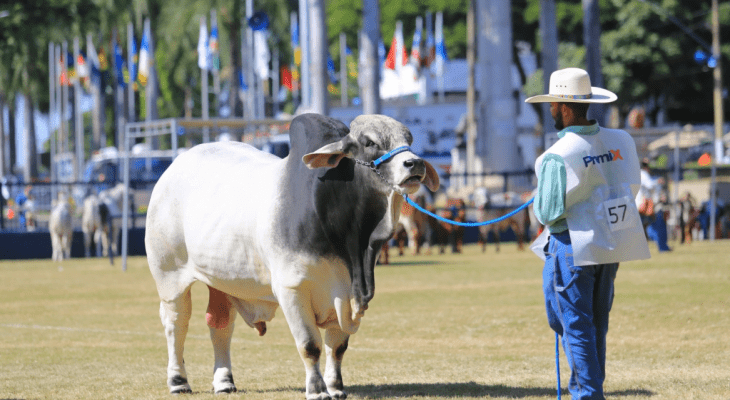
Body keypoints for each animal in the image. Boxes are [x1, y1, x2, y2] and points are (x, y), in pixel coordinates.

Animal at [145, 114, 436, 398]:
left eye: (409, 139)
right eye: (369, 142)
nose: (414, 163)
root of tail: (173, 168)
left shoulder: (344, 292)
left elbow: (337, 346)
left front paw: (335, 387)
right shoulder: (292, 290)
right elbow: (310, 345)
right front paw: (317, 390)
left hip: (222, 280)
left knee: (220, 324)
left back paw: (224, 381)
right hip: (169, 277)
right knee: (176, 323)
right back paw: (178, 381)